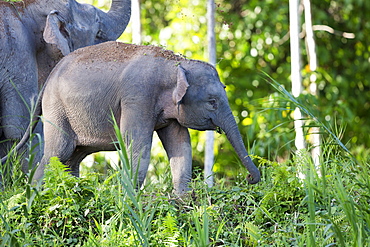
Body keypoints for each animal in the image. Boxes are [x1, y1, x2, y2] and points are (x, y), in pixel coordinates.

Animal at [34, 41, 260, 194]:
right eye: (212, 102)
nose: (249, 178)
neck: (176, 64)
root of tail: (49, 76)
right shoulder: (137, 96)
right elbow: (137, 144)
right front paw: (130, 198)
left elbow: (180, 143)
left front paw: (182, 198)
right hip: (56, 108)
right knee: (58, 151)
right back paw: (35, 195)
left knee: (74, 156)